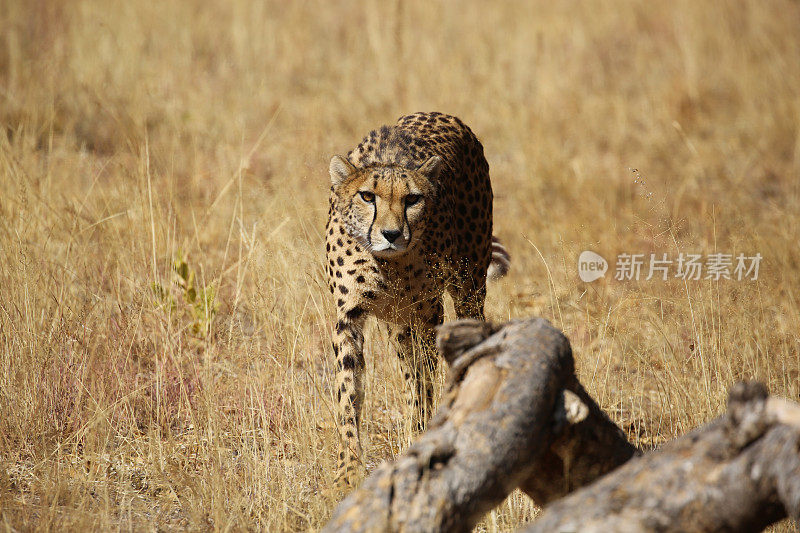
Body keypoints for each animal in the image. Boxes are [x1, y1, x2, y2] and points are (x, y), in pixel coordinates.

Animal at [324, 112, 506, 486]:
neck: (388, 263)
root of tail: (448, 116)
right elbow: (348, 393)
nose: (392, 234)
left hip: (468, 287)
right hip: (398, 324)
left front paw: (420, 437)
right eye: (367, 196)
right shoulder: (349, 315)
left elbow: (424, 381)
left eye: (413, 199)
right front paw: (347, 471)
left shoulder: (428, 312)